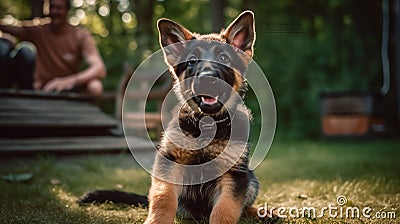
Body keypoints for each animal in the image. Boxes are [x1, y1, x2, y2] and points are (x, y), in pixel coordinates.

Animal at [79, 10, 270, 224]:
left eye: (224, 57)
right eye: (193, 60)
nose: (207, 78)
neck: (207, 125)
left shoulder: (234, 175)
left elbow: (226, 209)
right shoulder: (169, 163)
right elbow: (163, 198)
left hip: (251, 179)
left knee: (243, 206)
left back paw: (259, 212)